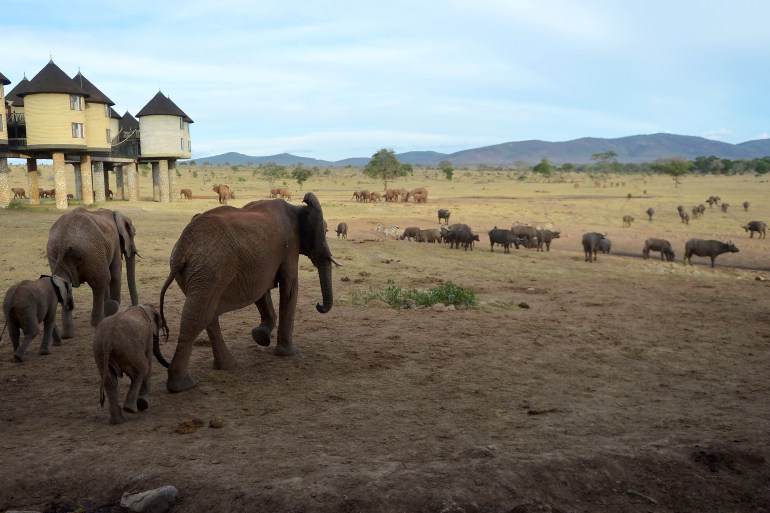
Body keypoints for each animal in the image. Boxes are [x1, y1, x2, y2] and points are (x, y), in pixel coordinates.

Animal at [47, 208, 140, 336]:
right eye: (133, 234)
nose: (132, 306)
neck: (115, 213)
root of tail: (63, 240)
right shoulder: (115, 242)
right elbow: (115, 273)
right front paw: (112, 306)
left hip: (55, 253)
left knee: (64, 285)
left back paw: (67, 335)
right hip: (92, 252)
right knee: (101, 282)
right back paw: (99, 321)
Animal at [159, 192, 340, 392]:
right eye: (325, 232)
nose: (319, 305)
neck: (297, 207)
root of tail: (183, 248)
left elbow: (262, 291)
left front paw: (261, 338)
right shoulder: (291, 244)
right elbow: (289, 287)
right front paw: (288, 353)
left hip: (199, 274)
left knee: (207, 315)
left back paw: (226, 366)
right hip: (209, 270)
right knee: (198, 318)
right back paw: (183, 386)